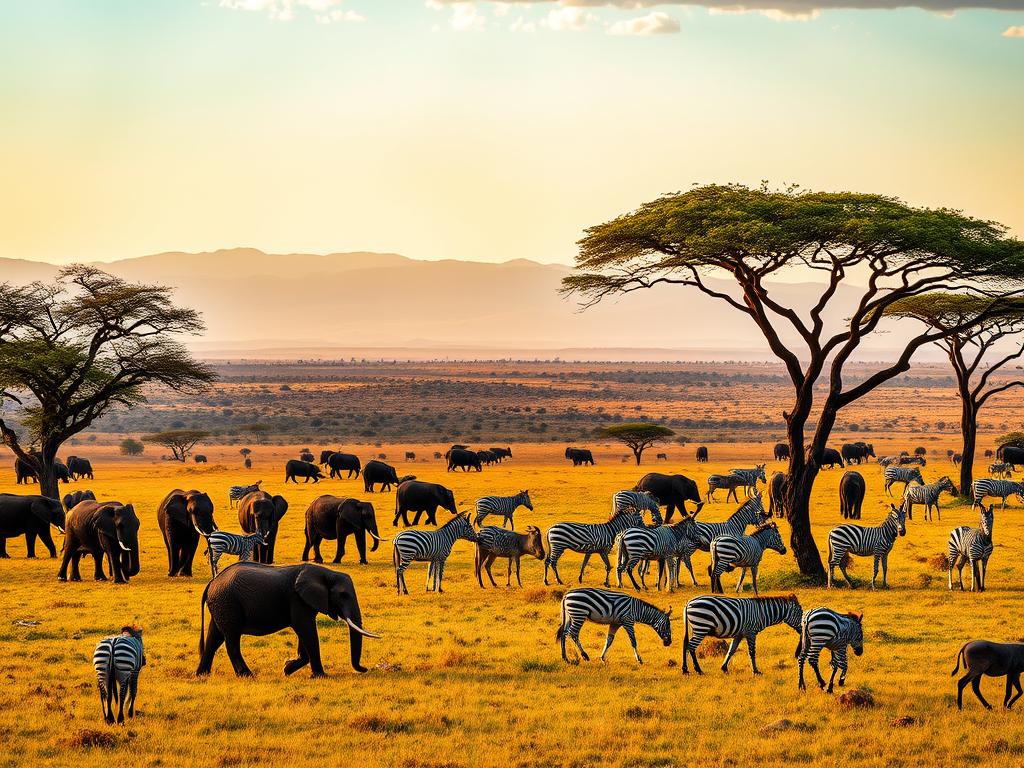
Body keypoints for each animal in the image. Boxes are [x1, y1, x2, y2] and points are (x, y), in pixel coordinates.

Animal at [196, 562, 380, 677]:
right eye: (343, 595)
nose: (365, 668)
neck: (325, 572)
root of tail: (211, 583)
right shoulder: (297, 599)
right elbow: (306, 630)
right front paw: (321, 676)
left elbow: (304, 635)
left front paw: (287, 669)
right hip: (228, 603)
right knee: (231, 640)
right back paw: (247, 675)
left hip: (222, 605)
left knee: (214, 637)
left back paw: (202, 675)